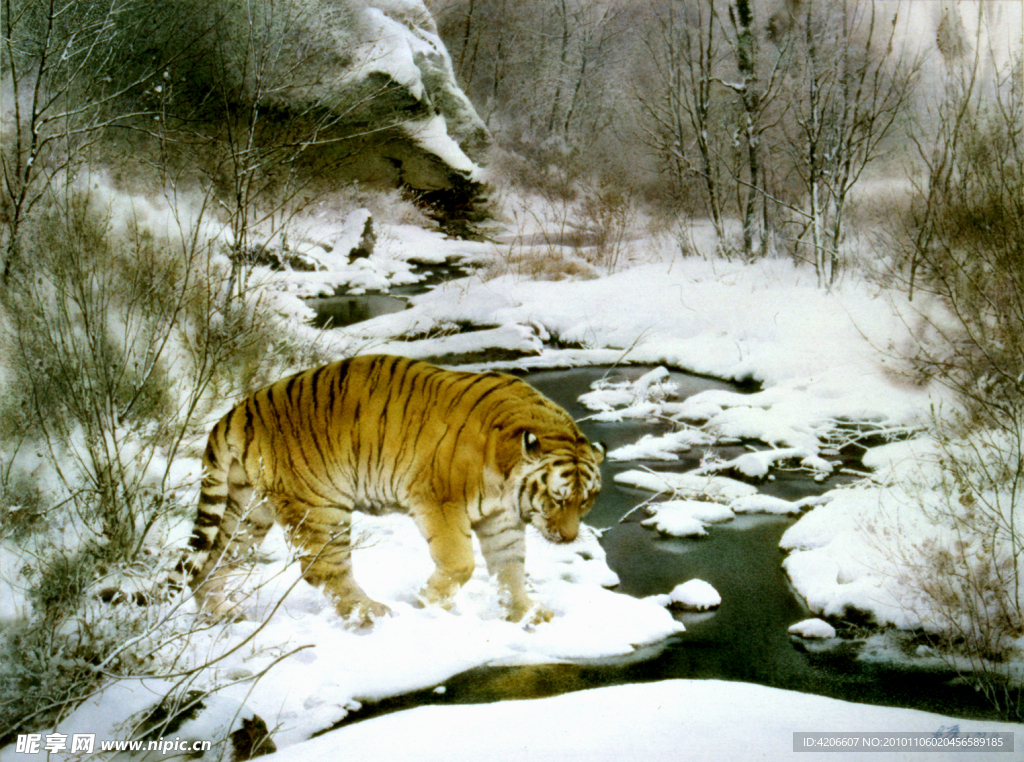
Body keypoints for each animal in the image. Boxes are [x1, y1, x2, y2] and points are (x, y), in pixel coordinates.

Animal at [180, 354, 602, 626]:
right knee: (325, 568)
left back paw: (218, 613)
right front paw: (428, 601)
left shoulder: (501, 519)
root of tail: (241, 408)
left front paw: (525, 612)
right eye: (557, 499)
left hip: (248, 510)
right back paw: (370, 613)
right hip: (321, 506)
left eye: (586, 501)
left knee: (213, 560)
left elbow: (510, 567)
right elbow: (460, 563)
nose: (568, 538)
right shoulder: (440, 502)